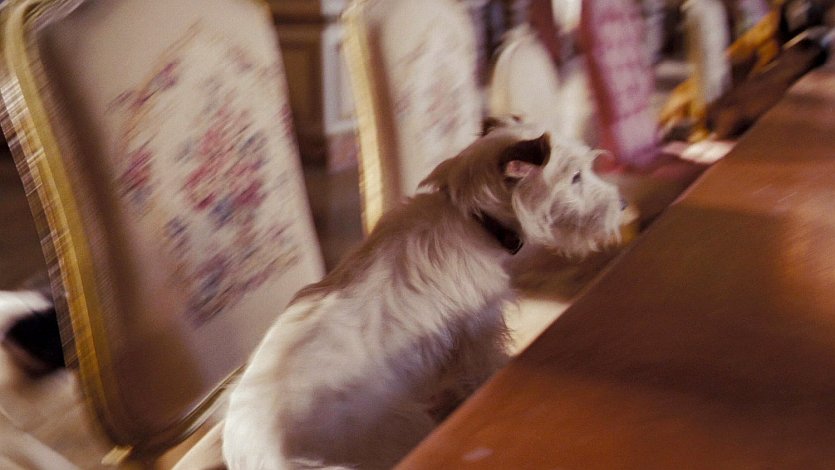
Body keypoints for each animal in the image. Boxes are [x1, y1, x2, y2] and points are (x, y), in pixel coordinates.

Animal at [222, 119, 624, 469]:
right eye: (575, 177)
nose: (621, 206)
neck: (473, 220)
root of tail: (268, 456)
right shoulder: (477, 334)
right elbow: (485, 367)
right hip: (399, 427)